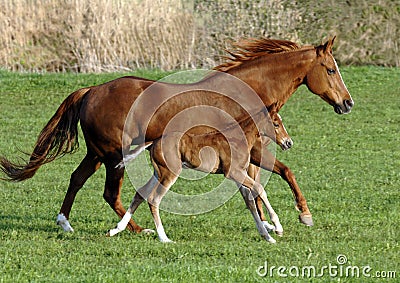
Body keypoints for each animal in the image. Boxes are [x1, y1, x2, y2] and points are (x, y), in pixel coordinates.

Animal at [108, 104, 290, 244]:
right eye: (276, 124)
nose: (288, 143)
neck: (238, 138)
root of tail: (155, 141)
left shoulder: (240, 175)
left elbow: (250, 201)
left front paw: (267, 237)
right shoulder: (233, 173)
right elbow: (259, 188)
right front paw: (277, 227)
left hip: (158, 173)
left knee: (140, 193)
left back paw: (116, 229)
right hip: (169, 173)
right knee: (154, 199)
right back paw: (164, 238)